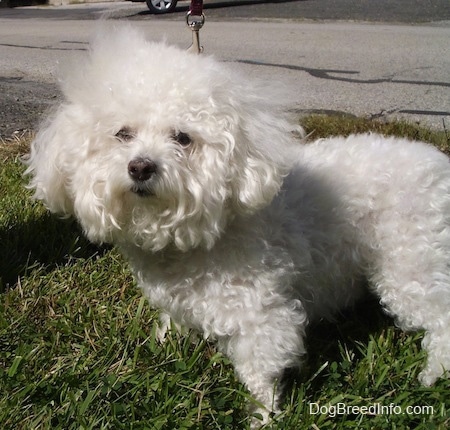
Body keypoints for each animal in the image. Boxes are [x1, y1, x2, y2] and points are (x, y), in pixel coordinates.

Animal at [27, 26, 450, 426]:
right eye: (122, 134)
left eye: (183, 138)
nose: (141, 166)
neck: (199, 235)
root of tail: (439, 166)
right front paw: (164, 342)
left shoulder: (259, 311)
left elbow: (260, 368)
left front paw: (262, 415)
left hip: (409, 265)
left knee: (440, 318)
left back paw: (433, 375)